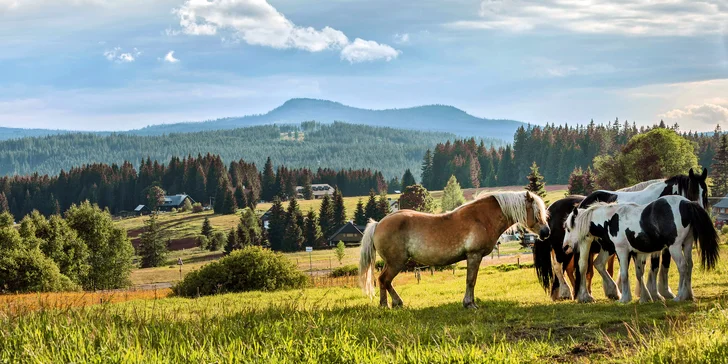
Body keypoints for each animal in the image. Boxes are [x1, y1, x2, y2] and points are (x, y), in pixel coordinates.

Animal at [358, 191, 544, 308]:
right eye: (536, 212)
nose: (546, 231)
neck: (481, 218)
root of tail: (378, 224)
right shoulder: (474, 255)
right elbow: (471, 280)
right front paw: (469, 304)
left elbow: (472, 281)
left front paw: (470, 302)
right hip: (396, 263)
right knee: (384, 280)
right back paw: (387, 305)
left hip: (392, 263)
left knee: (384, 281)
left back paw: (394, 303)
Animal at [560, 195, 720, 302]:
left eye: (568, 228)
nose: (565, 247)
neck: (611, 219)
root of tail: (687, 203)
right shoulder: (637, 253)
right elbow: (639, 273)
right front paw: (645, 297)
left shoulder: (622, 251)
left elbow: (624, 274)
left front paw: (625, 298)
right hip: (687, 244)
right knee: (690, 266)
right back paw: (688, 295)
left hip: (674, 247)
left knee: (683, 266)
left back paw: (679, 296)